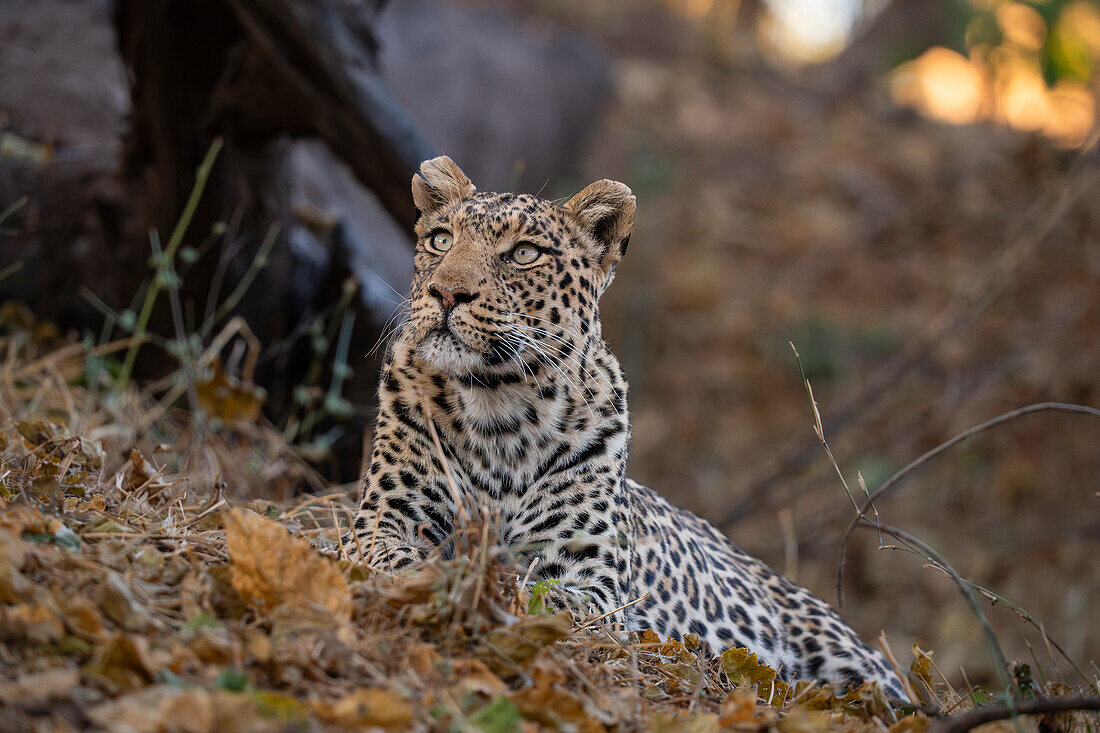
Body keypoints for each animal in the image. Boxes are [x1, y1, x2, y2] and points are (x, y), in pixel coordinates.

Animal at [349, 155, 902, 695]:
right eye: (441, 240)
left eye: (524, 253)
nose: (446, 293)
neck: (498, 407)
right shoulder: (381, 524)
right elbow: (403, 562)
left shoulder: (592, 583)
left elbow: (539, 595)